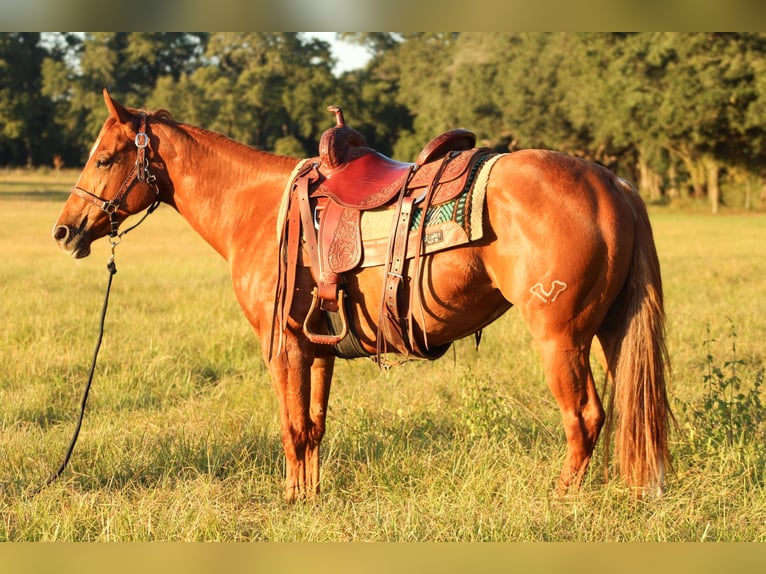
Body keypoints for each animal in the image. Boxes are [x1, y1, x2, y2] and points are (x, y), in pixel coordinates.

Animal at [51, 89, 672, 500]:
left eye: (103, 158)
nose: (63, 230)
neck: (256, 207)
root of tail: (611, 183)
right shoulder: (318, 347)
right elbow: (314, 427)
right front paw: (310, 498)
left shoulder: (284, 347)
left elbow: (291, 427)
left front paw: (291, 501)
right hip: (611, 332)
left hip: (560, 337)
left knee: (585, 417)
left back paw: (561, 497)